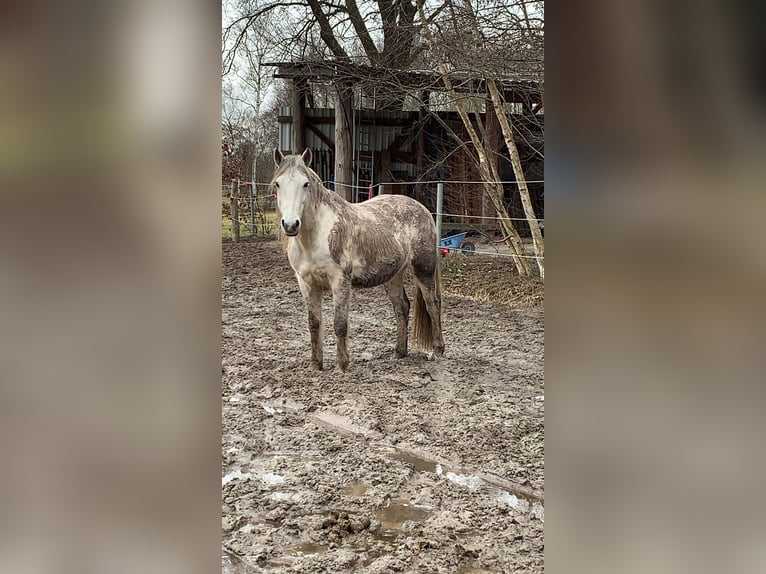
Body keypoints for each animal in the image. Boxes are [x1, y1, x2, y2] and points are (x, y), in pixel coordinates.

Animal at [271, 148, 444, 372]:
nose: (291, 225)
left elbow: (340, 324)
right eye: (278, 184)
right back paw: (399, 353)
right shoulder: (306, 283)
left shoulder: (340, 281)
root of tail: (424, 210)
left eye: (305, 184)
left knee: (433, 305)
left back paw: (437, 352)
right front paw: (316, 365)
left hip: (423, 269)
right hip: (393, 276)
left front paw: (341, 366)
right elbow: (314, 324)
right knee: (402, 307)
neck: (317, 236)